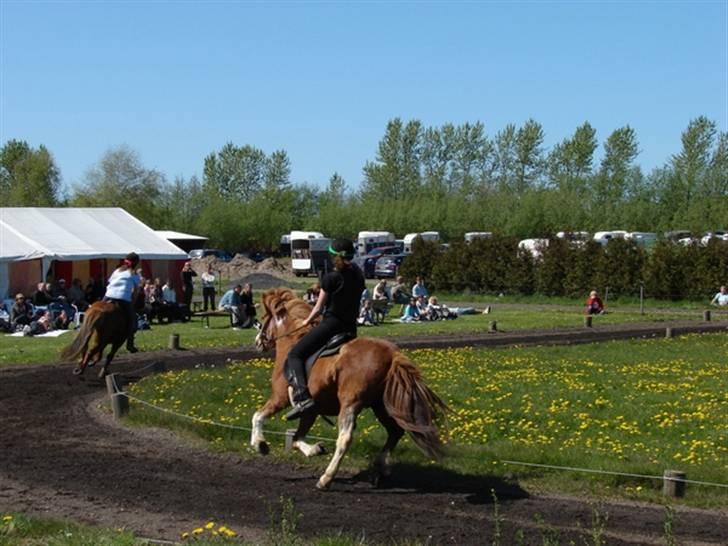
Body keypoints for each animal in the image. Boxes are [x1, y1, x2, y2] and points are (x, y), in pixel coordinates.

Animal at [252, 286, 450, 486]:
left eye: (264, 318)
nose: (258, 342)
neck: (293, 339)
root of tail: (391, 354)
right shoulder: (310, 410)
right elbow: (296, 438)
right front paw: (315, 450)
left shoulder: (281, 398)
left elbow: (258, 416)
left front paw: (260, 445)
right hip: (381, 406)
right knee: (395, 431)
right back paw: (381, 469)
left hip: (350, 403)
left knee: (345, 439)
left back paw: (327, 478)